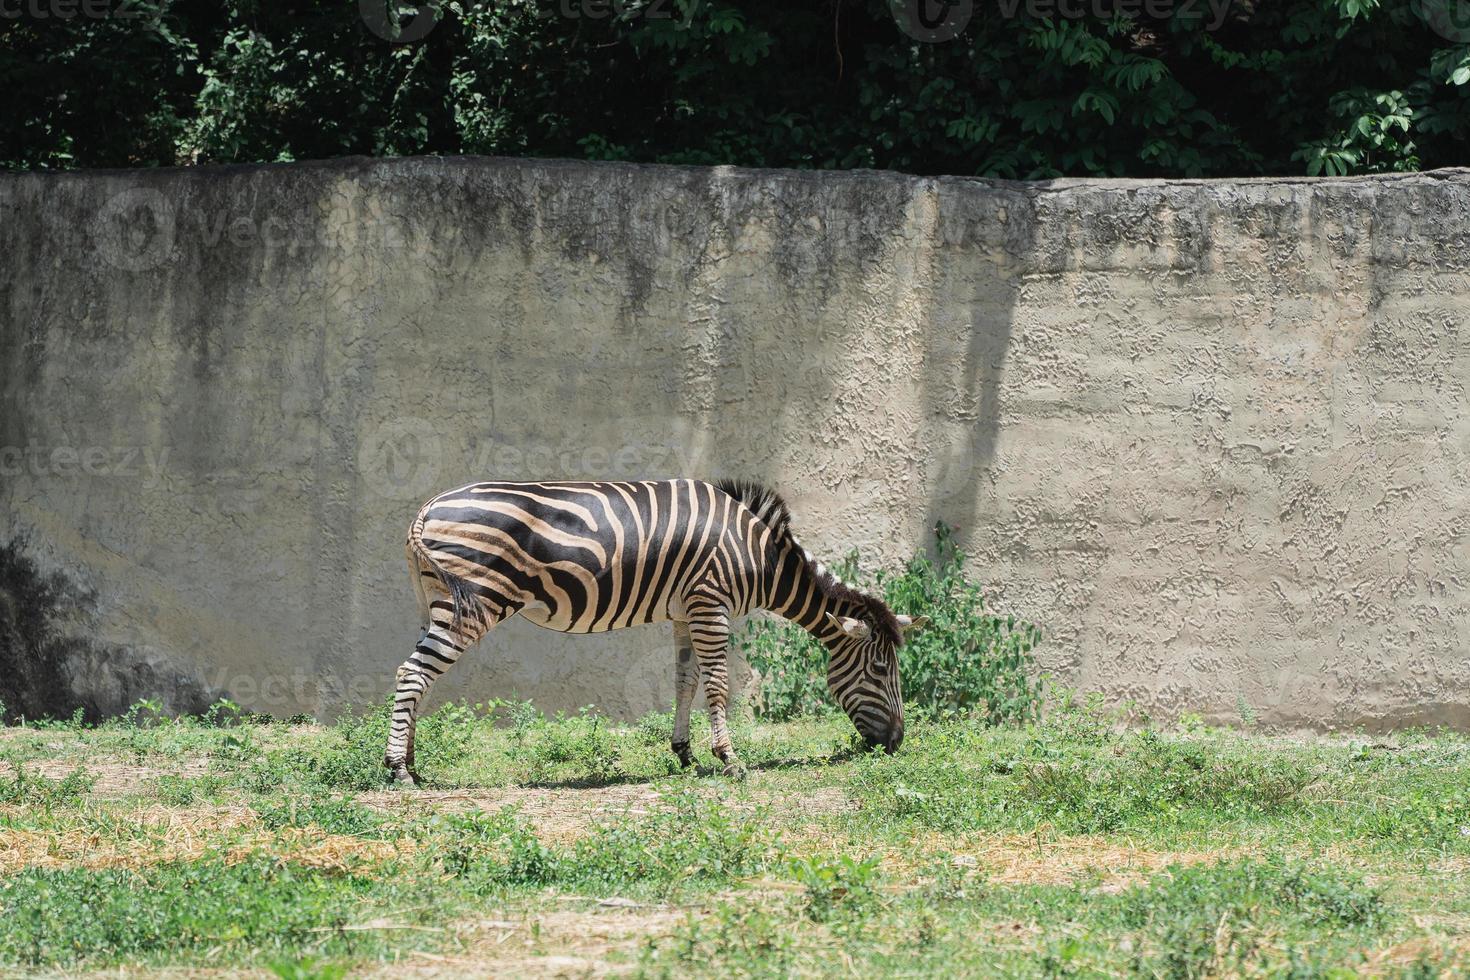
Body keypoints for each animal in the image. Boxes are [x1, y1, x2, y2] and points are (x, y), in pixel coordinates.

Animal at [385, 478, 923, 787]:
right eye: (881, 669)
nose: (897, 743)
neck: (759, 555)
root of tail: (427, 509)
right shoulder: (711, 602)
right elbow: (718, 685)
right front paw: (730, 760)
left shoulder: (686, 610)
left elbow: (686, 681)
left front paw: (685, 753)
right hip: (476, 602)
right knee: (412, 674)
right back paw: (397, 771)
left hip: (437, 600)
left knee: (419, 677)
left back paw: (413, 764)